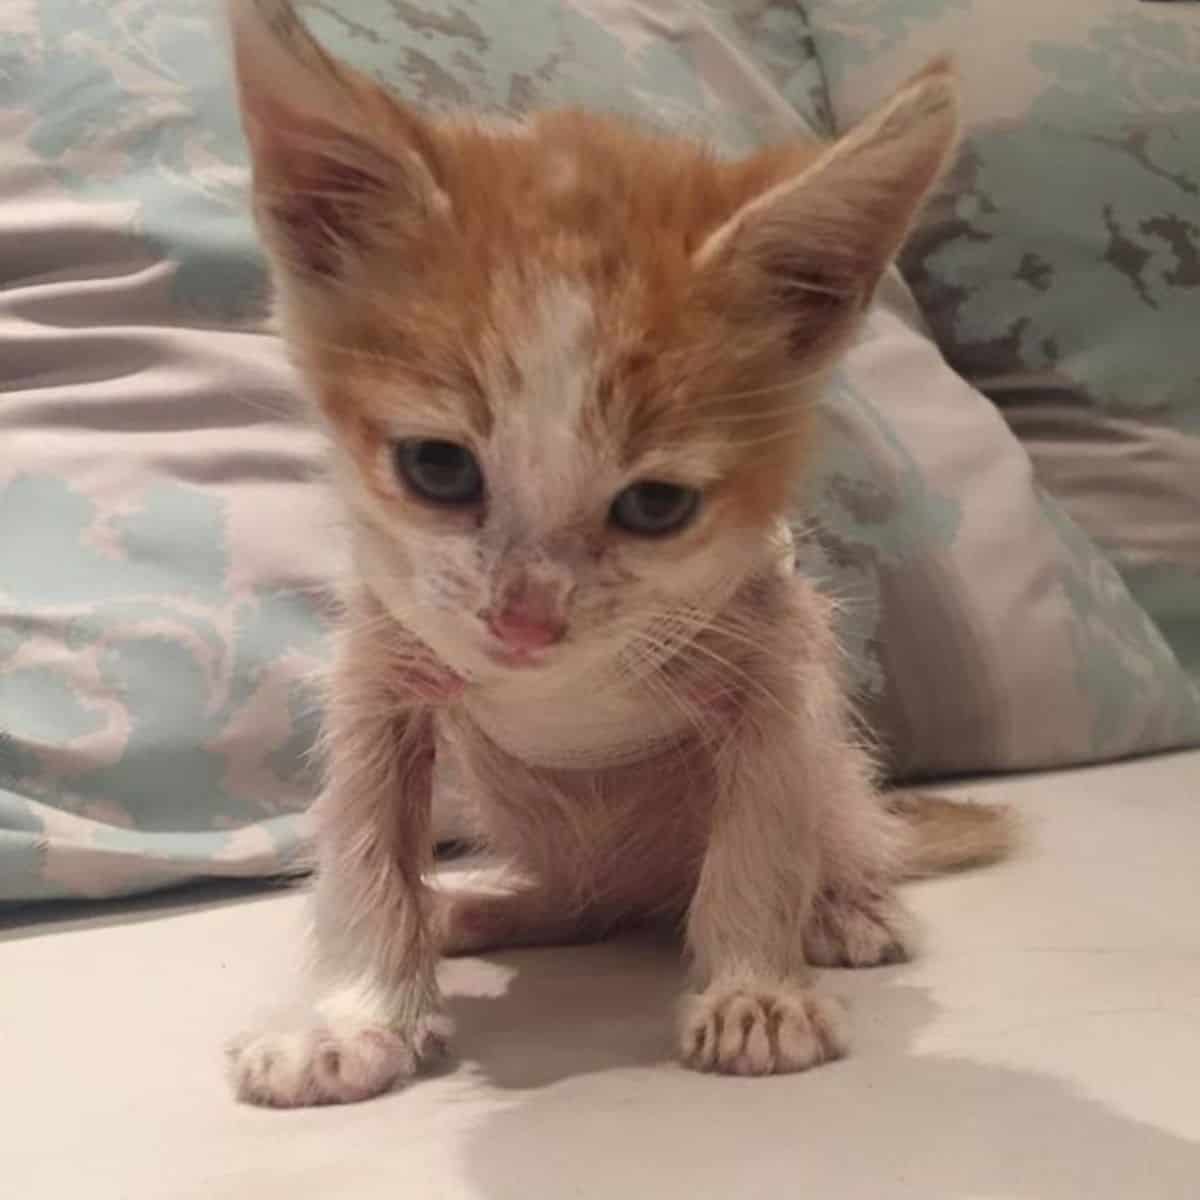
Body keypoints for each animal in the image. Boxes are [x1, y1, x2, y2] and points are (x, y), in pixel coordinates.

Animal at [225, 0, 1012, 1104]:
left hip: (834, 764)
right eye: (437, 468)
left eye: (655, 505)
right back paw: (476, 907)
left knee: (834, 822)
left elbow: (762, 832)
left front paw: (754, 991)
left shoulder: (778, 660)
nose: (524, 620)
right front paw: (354, 1014)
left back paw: (842, 908)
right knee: (583, 899)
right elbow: (363, 836)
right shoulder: (378, 670)